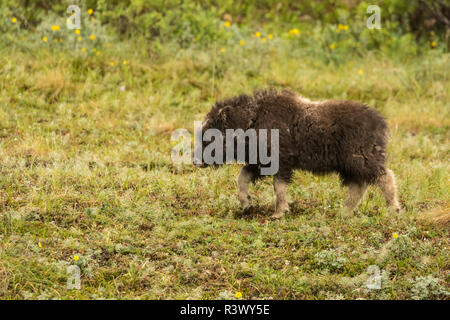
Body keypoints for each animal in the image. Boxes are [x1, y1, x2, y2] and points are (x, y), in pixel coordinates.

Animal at [197, 89, 400, 219]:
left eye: (212, 135)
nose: (197, 162)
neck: (252, 120)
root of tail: (380, 122)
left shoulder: (280, 162)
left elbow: (279, 187)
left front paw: (279, 213)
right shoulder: (260, 163)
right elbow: (242, 177)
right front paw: (247, 204)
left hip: (360, 158)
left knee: (384, 177)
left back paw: (393, 210)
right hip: (350, 165)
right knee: (359, 186)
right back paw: (343, 213)